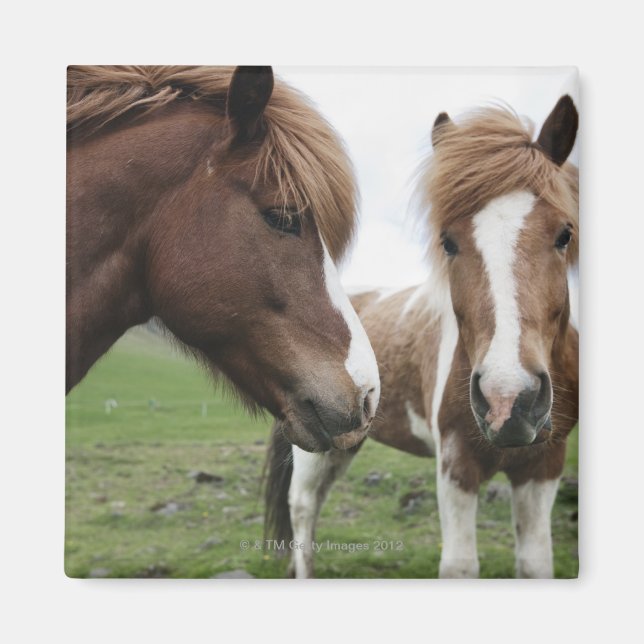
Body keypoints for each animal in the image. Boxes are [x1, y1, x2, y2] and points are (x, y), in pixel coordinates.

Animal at [265, 96, 579, 578]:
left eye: (564, 234)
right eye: (448, 242)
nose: (508, 401)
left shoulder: (543, 466)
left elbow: (535, 563)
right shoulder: (456, 463)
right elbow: (460, 565)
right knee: (302, 505)